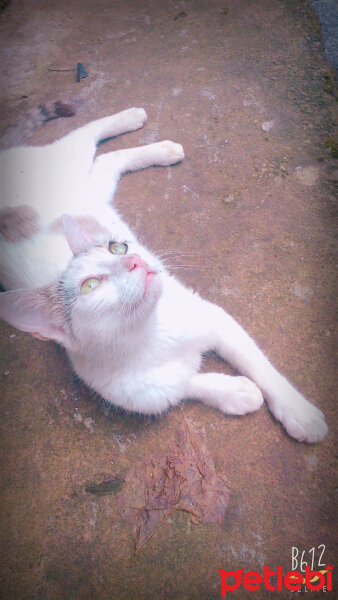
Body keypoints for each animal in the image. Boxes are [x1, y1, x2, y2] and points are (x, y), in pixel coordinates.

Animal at [0, 108, 328, 442]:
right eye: (90, 285)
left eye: (117, 247)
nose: (134, 259)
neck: (152, 335)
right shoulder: (141, 394)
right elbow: (184, 387)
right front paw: (235, 392)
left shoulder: (215, 318)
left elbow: (260, 365)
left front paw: (299, 413)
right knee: (104, 161)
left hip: (71, 167)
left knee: (93, 142)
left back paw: (144, 129)